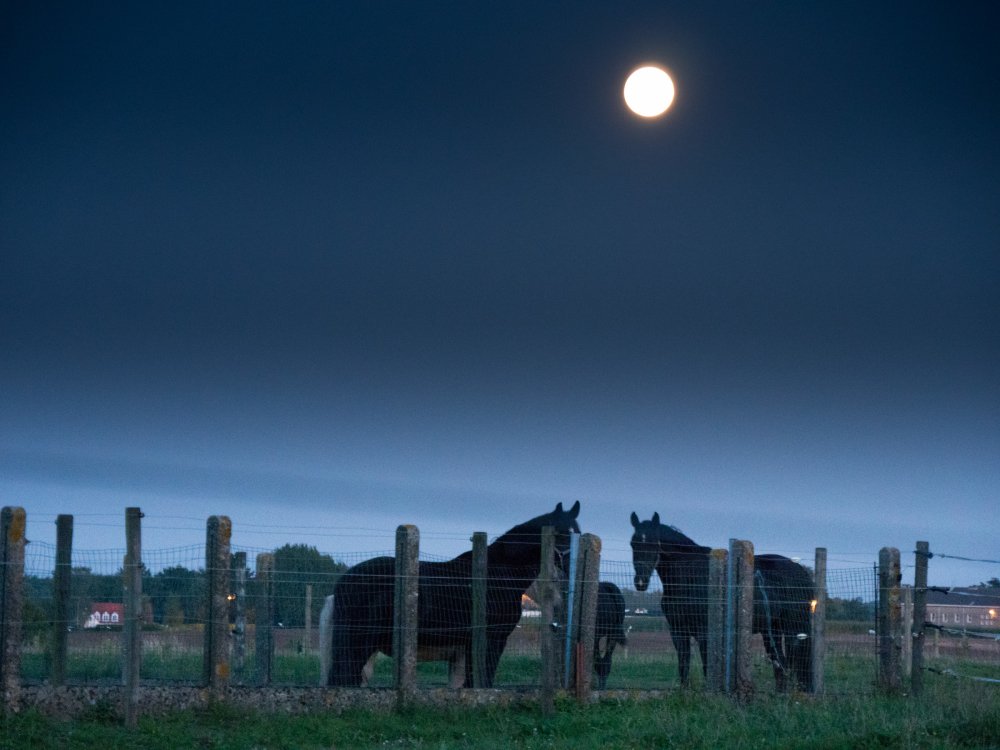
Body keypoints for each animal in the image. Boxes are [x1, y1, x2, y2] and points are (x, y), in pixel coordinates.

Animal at [324, 502, 584, 692]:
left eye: (579, 534)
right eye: (560, 533)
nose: (572, 567)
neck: (497, 574)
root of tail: (343, 583)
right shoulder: (492, 640)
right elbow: (483, 679)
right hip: (360, 641)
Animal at [632, 512, 812, 692]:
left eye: (654, 543)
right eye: (633, 543)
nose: (640, 582)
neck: (690, 577)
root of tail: (801, 571)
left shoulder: (704, 632)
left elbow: (707, 666)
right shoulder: (678, 631)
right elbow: (683, 665)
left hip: (792, 628)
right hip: (771, 631)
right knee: (781, 666)